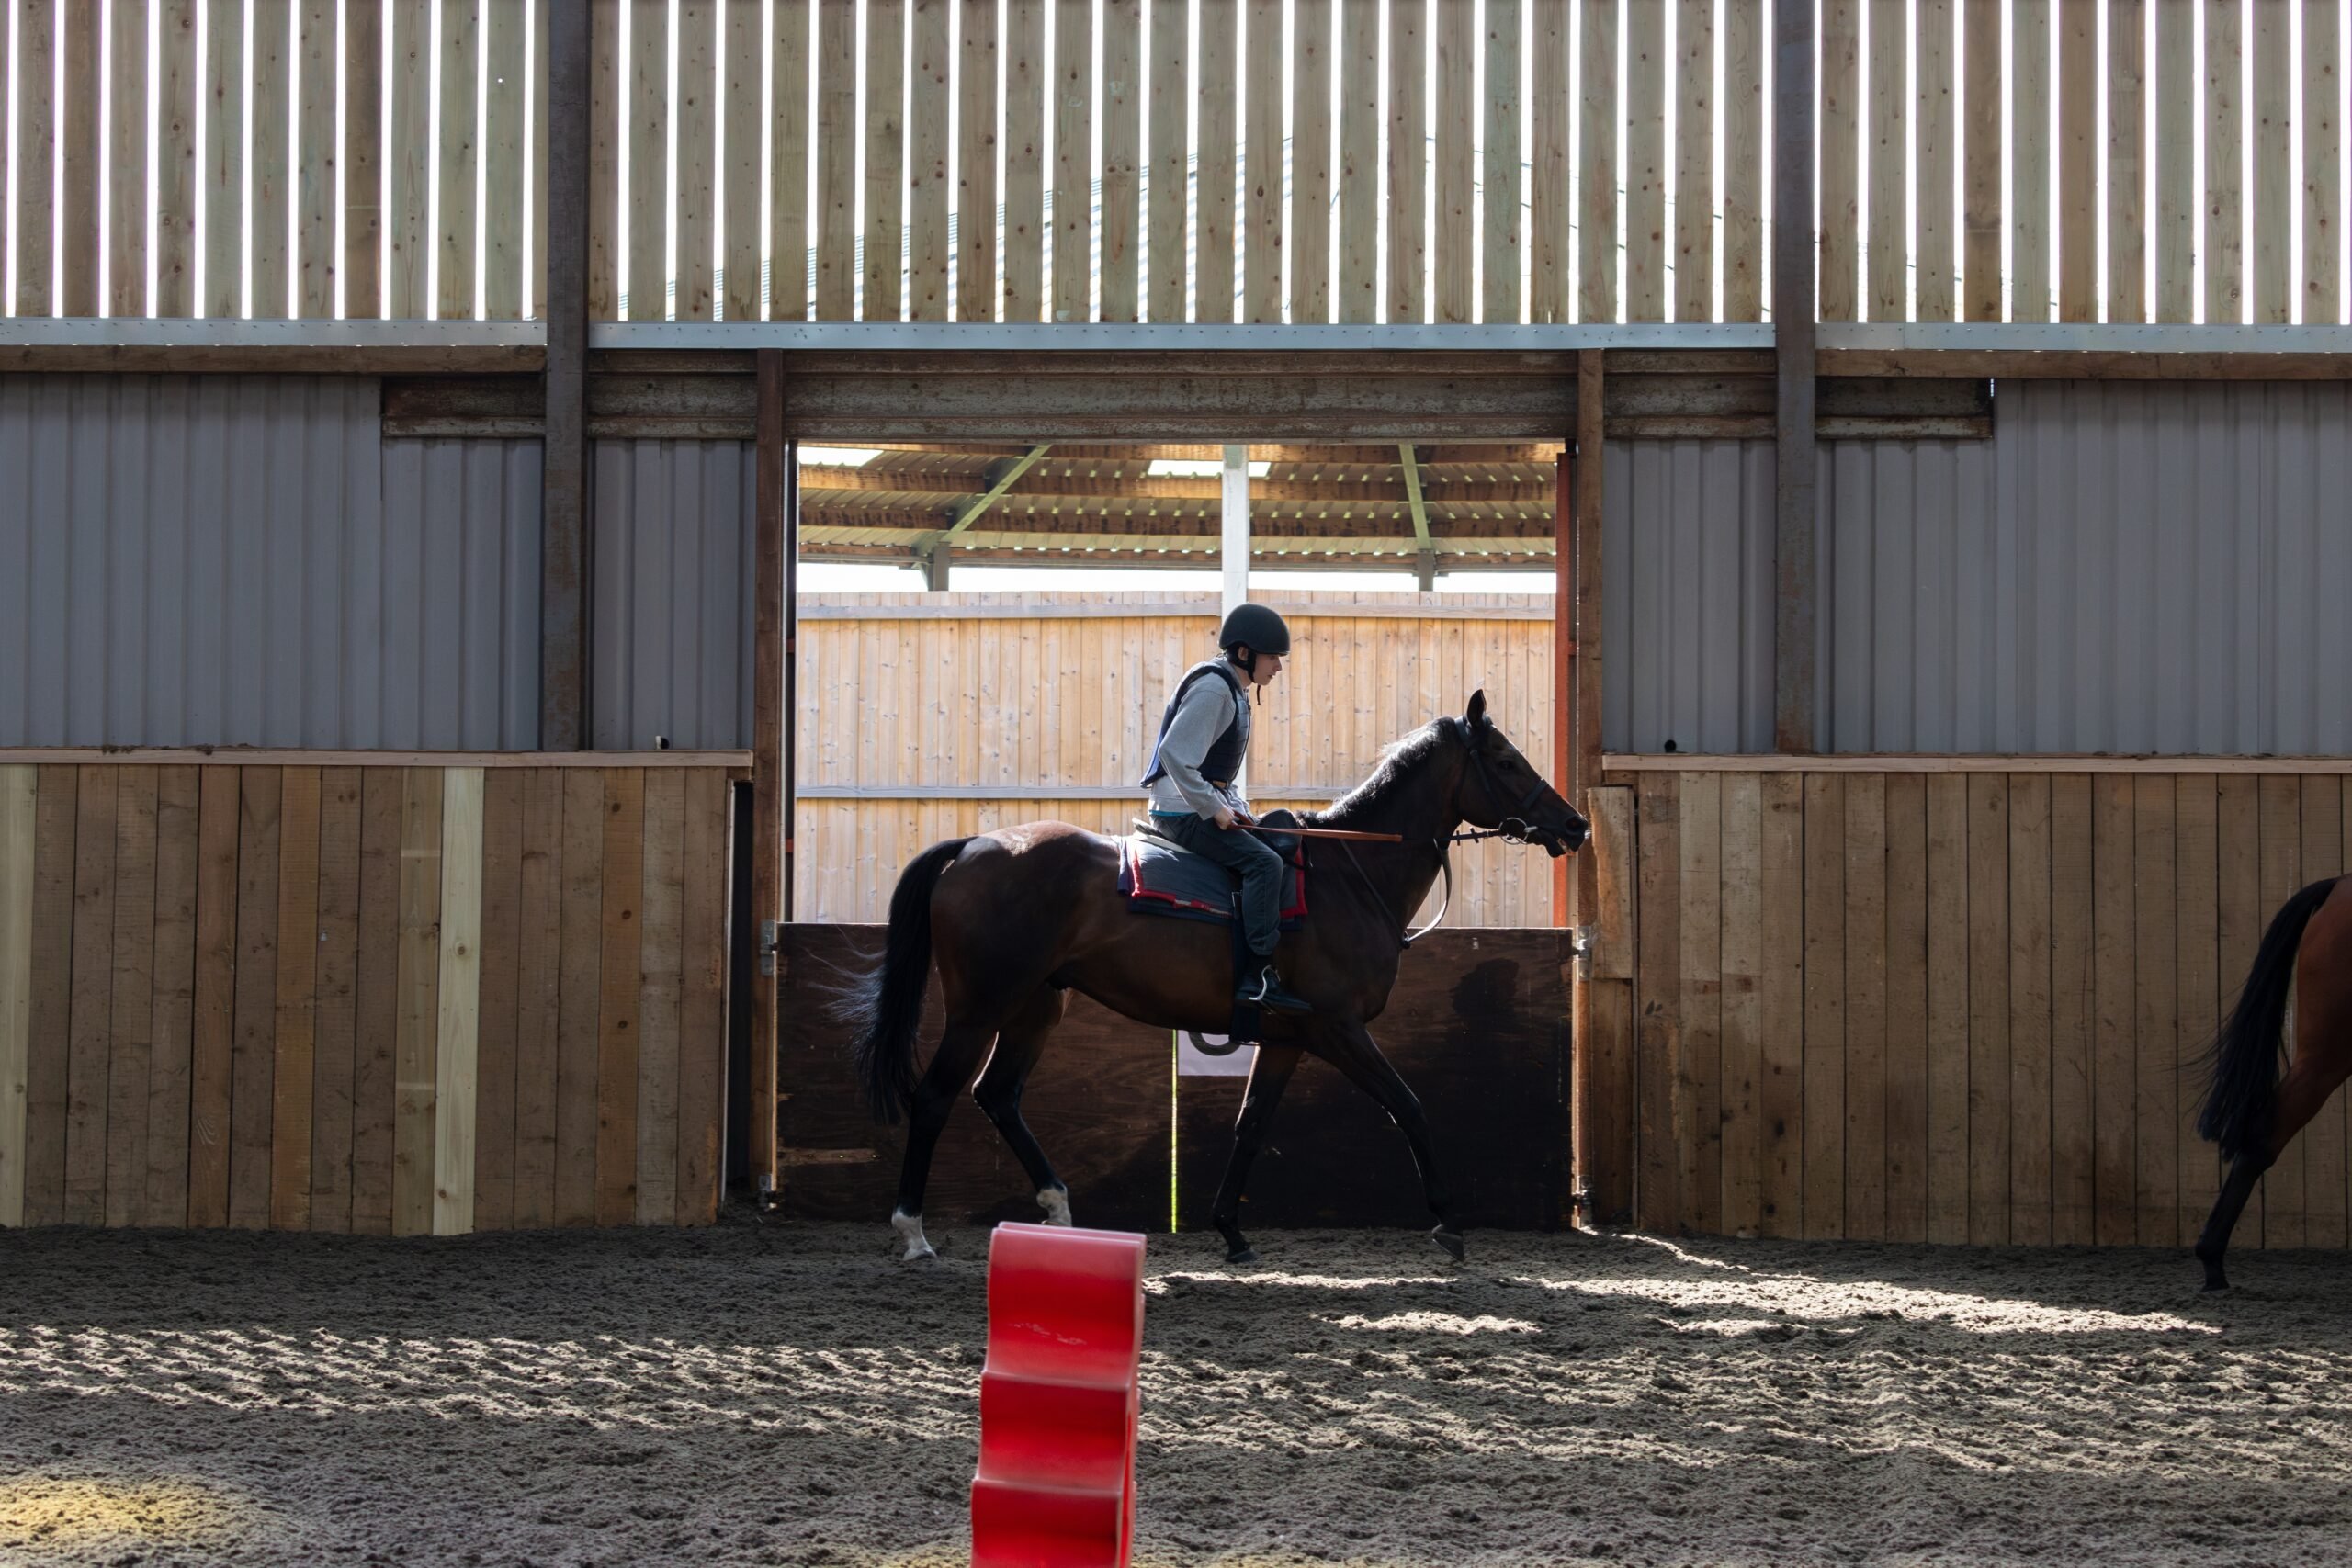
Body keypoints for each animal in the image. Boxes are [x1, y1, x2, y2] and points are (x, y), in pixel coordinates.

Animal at [837, 691, 1589, 1265]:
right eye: (1505, 760)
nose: (1575, 824)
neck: (1350, 875)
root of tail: (972, 846)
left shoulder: (1286, 1039)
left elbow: (1251, 1124)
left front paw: (1231, 1229)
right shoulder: (1338, 1029)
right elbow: (1409, 1106)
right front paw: (1449, 1223)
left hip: (1035, 1008)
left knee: (998, 1095)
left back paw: (1058, 1210)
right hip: (980, 1008)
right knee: (935, 1097)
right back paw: (914, 1233)